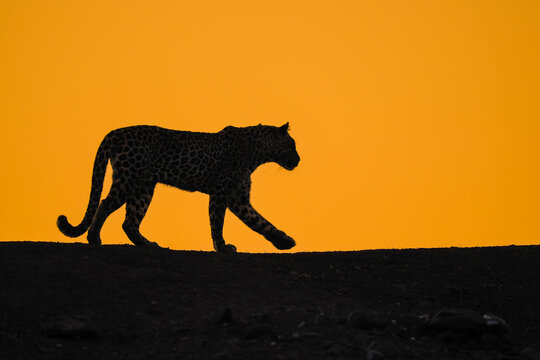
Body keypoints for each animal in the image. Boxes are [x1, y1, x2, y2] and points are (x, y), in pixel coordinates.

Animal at [57, 124, 302, 253]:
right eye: (292, 145)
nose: (299, 160)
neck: (256, 153)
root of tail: (115, 132)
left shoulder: (238, 199)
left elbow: (260, 222)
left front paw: (284, 241)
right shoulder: (221, 194)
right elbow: (217, 222)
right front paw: (221, 247)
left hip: (144, 187)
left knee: (129, 221)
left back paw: (148, 244)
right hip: (129, 178)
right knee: (105, 204)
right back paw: (94, 238)